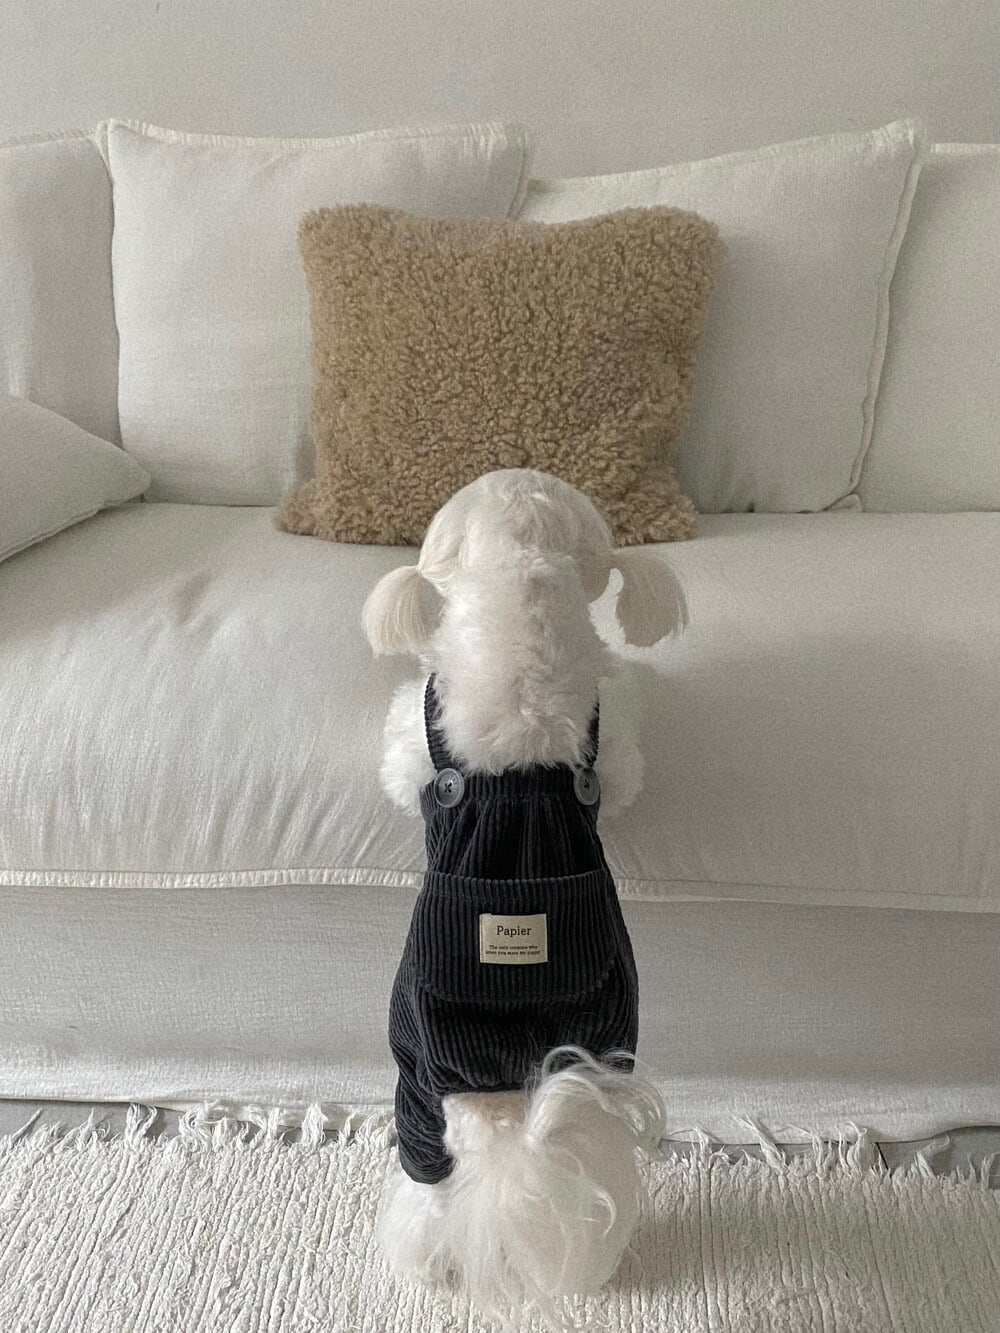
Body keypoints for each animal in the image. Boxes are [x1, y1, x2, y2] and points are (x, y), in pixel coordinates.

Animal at [362, 469, 685, 1324]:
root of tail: (496, 1110)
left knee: (424, 1198)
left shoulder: (421, 729)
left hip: (414, 1091)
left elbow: (399, 756)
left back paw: (422, 1265)